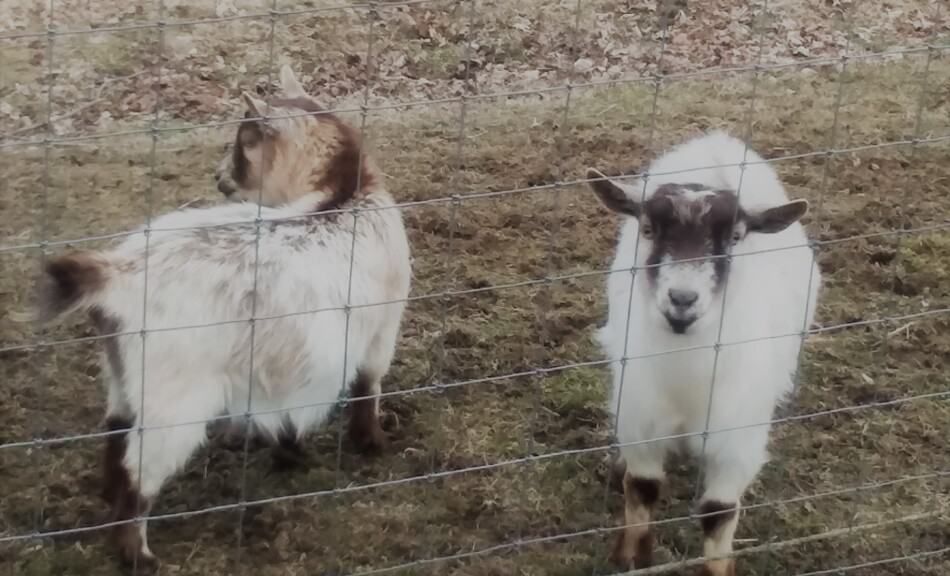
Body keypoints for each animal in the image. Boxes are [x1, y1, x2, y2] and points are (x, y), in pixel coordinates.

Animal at [36, 66, 412, 568]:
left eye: (242, 141)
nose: (218, 178)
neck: (344, 192)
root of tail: (117, 274)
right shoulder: (380, 327)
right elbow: (368, 386)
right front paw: (371, 443)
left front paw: (292, 451)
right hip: (175, 399)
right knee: (140, 469)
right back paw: (138, 556)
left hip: (124, 372)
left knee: (117, 432)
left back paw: (109, 500)